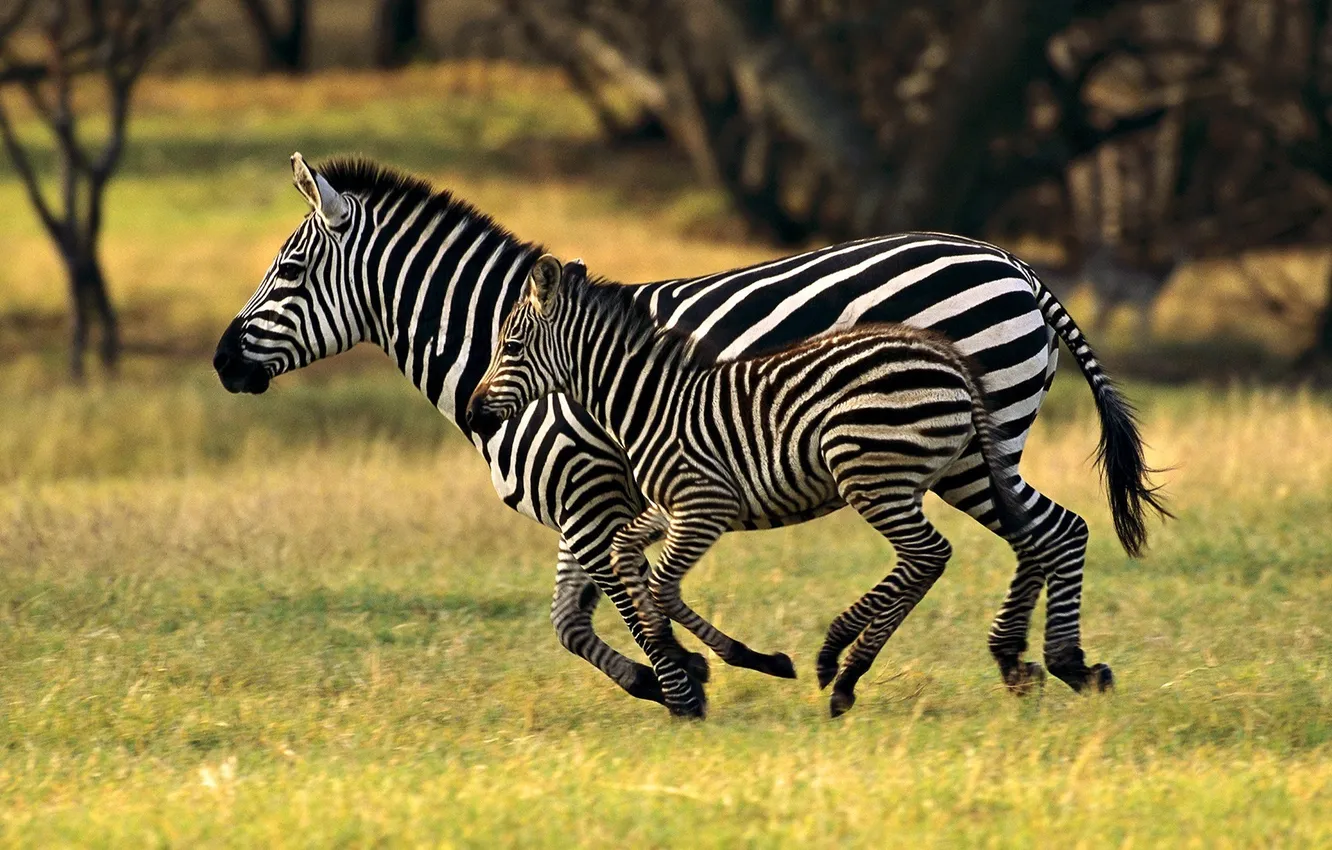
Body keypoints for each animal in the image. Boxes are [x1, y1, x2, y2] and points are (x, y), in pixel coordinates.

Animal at [466, 255, 1033, 716]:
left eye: (510, 346)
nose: (473, 414)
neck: (649, 405)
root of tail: (948, 357)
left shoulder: (704, 505)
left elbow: (660, 585)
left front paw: (717, 663)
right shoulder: (668, 508)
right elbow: (626, 555)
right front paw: (673, 656)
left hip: (869, 473)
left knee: (930, 554)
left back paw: (839, 660)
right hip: (906, 478)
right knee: (937, 557)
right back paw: (848, 671)